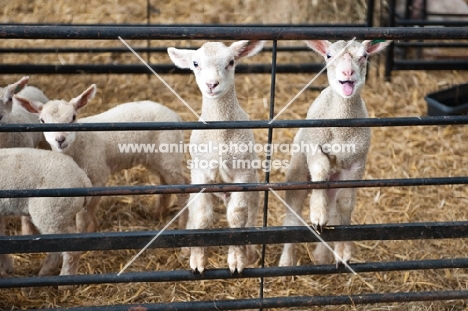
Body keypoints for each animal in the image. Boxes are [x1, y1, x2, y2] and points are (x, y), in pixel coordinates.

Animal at [0, 147, 92, 280]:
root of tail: (82, 178)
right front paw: (6, 267)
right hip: (60, 214)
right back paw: (46, 271)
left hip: (50, 213)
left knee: (71, 248)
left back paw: (65, 279)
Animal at [15, 85, 189, 234]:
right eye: (42, 121)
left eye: (73, 117)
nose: (60, 139)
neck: (80, 142)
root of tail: (175, 115)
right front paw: (93, 228)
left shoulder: (98, 174)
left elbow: (85, 212)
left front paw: (84, 231)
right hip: (155, 159)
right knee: (166, 183)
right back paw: (158, 213)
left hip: (169, 154)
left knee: (183, 185)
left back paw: (182, 224)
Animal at [168, 39, 266, 276]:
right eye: (195, 64)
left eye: (231, 62)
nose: (212, 84)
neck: (220, 135)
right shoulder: (200, 173)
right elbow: (202, 215)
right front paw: (197, 260)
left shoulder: (243, 172)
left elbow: (237, 215)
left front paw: (237, 259)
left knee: (251, 214)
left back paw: (251, 253)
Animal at [278, 39, 392, 268]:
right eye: (329, 56)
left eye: (364, 55)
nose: (348, 72)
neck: (342, 125)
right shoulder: (315, 148)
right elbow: (320, 172)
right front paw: (317, 214)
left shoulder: (357, 161)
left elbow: (346, 204)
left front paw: (344, 251)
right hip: (298, 167)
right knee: (293, 210)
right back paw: (287, 260)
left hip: (337, 176)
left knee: (333, 205)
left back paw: (323, 254)